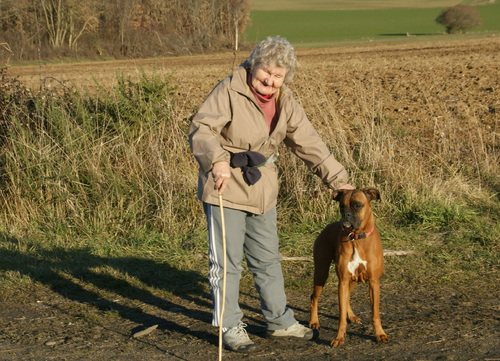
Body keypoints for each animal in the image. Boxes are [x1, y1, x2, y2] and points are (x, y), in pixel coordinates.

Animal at [308, 187, 390, 344]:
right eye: (341, 206)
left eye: (357, 205)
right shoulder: (343, 281)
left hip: (351, 280)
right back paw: (314, 322)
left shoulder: (373, 282)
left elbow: (375, 313)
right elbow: (341, 317)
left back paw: (351, 316)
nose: (346, 214)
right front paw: (339, 338)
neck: (357, 238)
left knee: (346, 299)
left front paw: (380, 334)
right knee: (314, 298)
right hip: (321, 272)